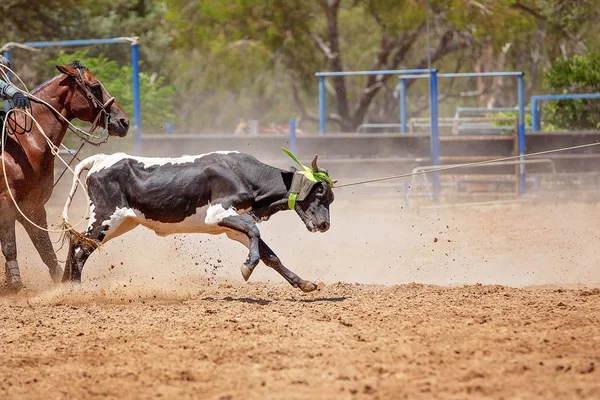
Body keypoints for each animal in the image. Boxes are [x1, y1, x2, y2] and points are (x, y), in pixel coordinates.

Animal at [0, 63, 129, 294]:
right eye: (95, 87)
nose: (124, 121)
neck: (23, 144)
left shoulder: (31, 207)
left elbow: (47, 252)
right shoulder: (6, 202)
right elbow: (9, 246)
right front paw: (16, 286)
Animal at [62, 150, 336, 290]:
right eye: (320, 193)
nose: (325, 225)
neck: (243, 174)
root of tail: (101, 159)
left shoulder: (235, 225)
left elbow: (270, 255)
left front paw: (303, 283)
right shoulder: (218, 213)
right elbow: (256, 235)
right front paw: (247, 266)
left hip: (121, 222)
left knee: (76, 244)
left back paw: (64, 286)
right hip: (107, 218)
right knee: (80, 249)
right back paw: (74, 290)